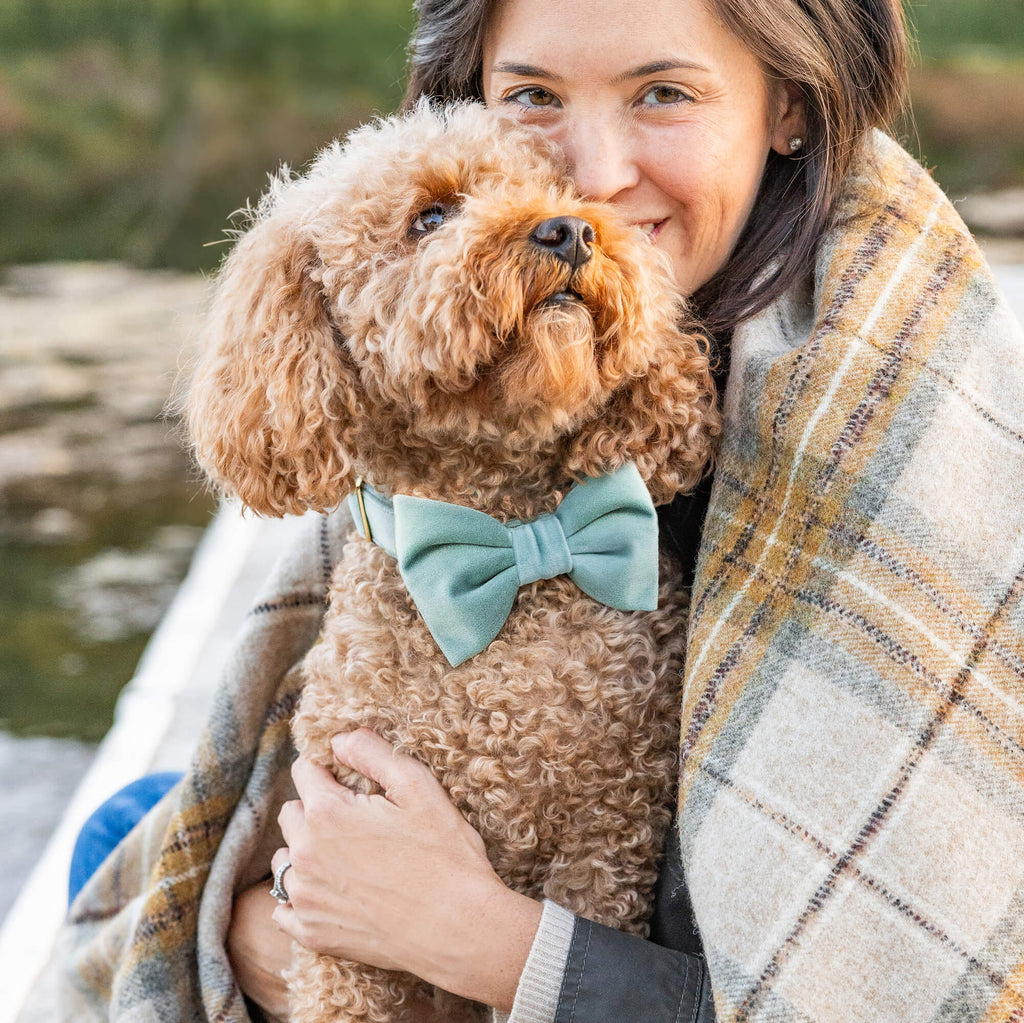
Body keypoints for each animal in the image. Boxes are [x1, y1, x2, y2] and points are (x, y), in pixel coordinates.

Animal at [190, 101, 720, 1023]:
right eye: (430, 216)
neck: (507, 541)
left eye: (559, 187)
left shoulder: (606, 832)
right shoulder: (345, 881)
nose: (569, 229)